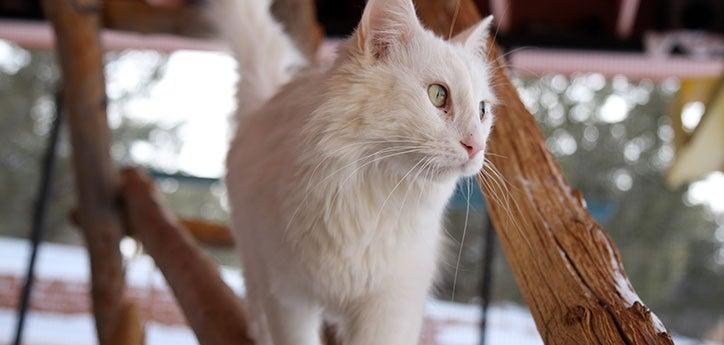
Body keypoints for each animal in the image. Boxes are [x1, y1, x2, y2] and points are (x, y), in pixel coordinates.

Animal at [215, 0, 494, 344]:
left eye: (482, 110)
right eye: (438, 95)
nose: (476, 146)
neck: (374, 199)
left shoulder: (391, 307)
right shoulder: (288, 296)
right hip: (254, 256)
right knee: (254, 297)